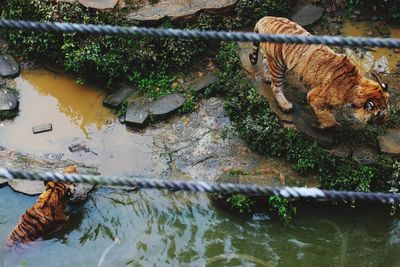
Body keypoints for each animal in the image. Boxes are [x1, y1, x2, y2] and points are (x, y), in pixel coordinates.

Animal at [248, 16, 390, 130]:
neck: (354, 87)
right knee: (276, 86)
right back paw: (285, 105)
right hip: (278, 63)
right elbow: (329, 118)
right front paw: (322, 124)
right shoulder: (314, 97)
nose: (385, 123)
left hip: (273, 58)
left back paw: (267, 77)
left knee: (265, 62)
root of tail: (266, 18)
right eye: (380, 115)